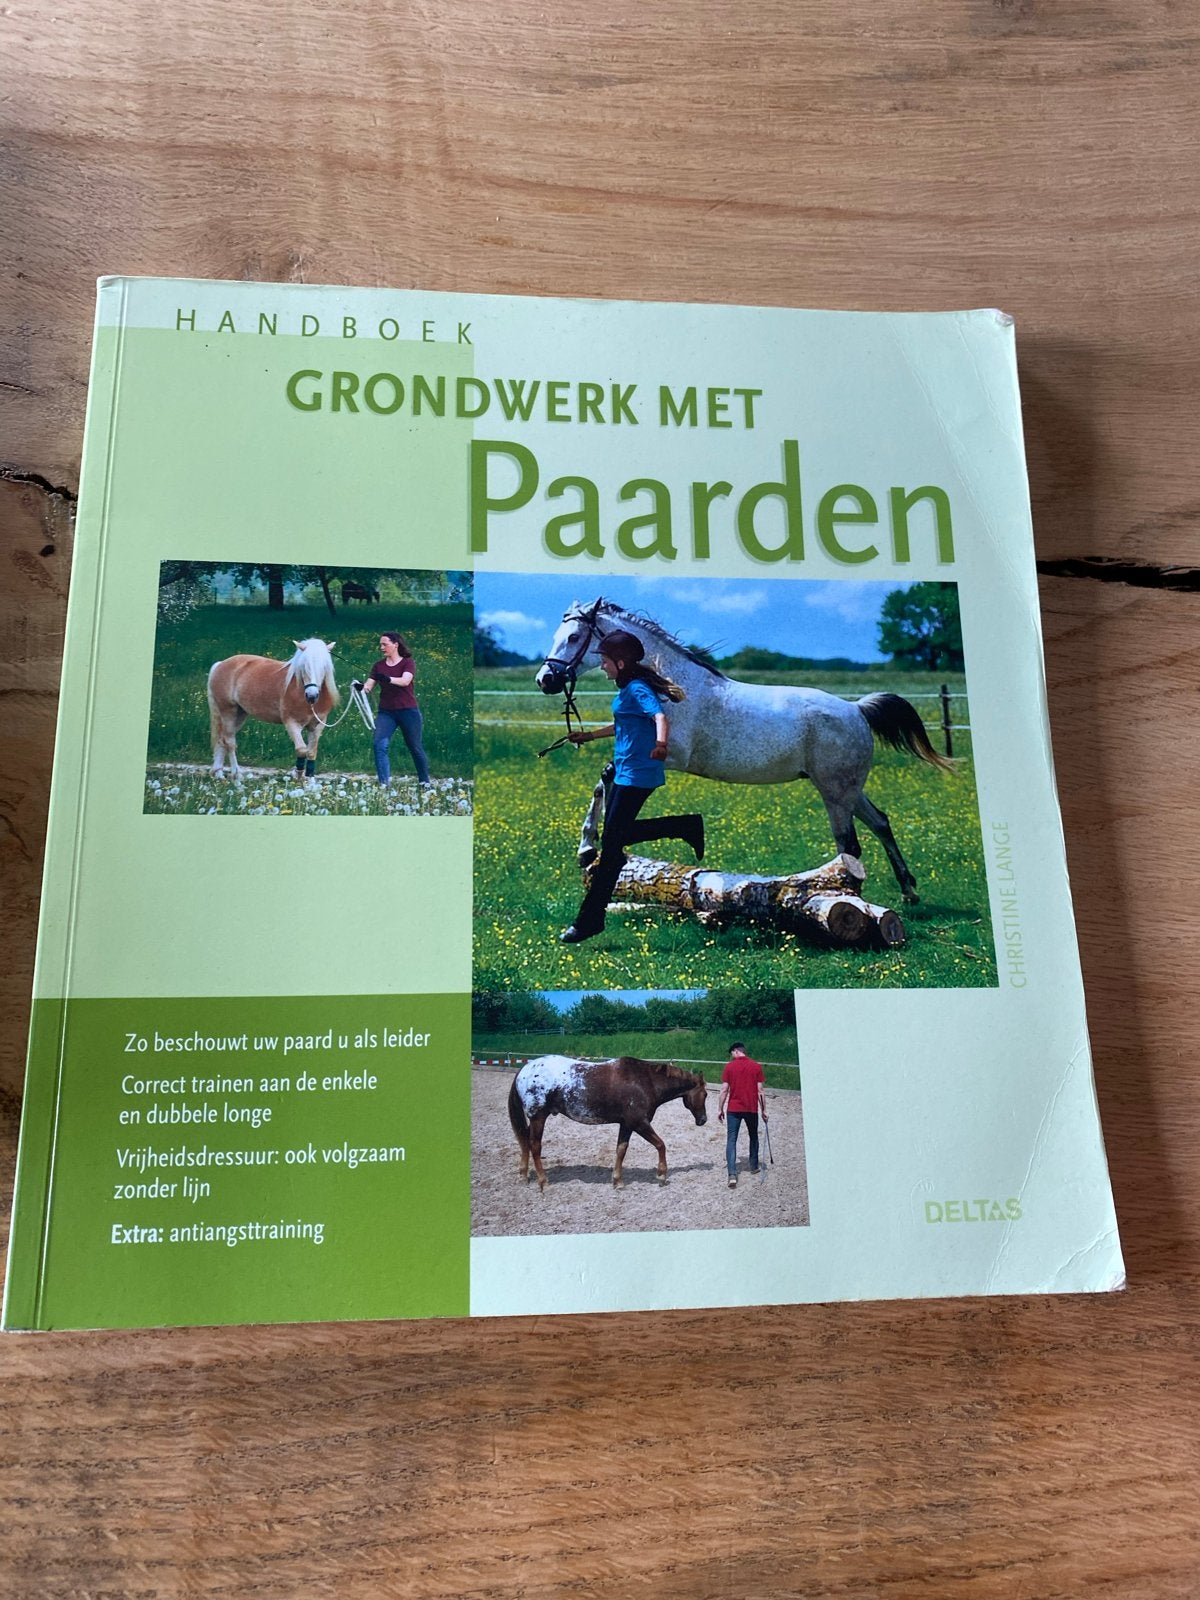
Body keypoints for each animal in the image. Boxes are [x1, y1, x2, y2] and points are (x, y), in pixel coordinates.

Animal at [207, 638, 339, 778]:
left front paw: (310, 780)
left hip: (240, 714)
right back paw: (236, 775)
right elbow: (301, 750)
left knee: (222, 739)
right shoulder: (292, 723)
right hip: (228, 711)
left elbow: (311, 752)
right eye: (304, 667)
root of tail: (220, 664)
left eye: (324, 667)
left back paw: (219, 774)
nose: (312, 695)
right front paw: (298, 775)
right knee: (230, 742)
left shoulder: (317, 726)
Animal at [508, 1054, 708, 1191]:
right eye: (705, 1094)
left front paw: (618, 1181)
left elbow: (621, 1150)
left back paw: (523, 1176)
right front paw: (661, 1174)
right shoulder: (639, 1123)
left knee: (524, 1141)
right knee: (535, 1146)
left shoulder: (626, 1125)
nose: (703, 1120)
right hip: (538, 1117)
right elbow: (661, 1145)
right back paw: (543, 1181)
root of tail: (525, 1069)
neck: (645, 1082)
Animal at [535, 598, 952, 901]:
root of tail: (856, 709)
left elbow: (609, 777)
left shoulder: (667, 757)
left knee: (849, 843)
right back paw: (909, 891)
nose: (546, 680)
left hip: (835, 792)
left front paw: (588, 848)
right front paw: (589, 849)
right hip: (848, 789)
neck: (668, 686)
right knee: (880, 822)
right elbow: (605, 782)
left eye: (574, 637)